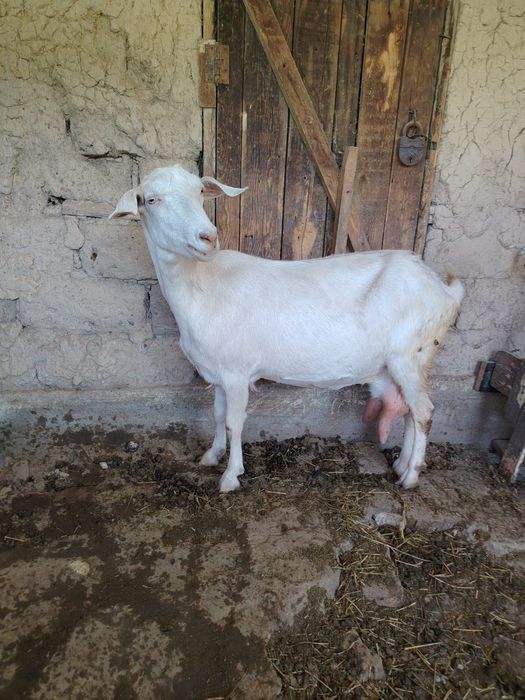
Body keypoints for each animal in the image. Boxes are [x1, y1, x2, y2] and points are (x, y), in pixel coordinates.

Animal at [110, 165, 464, 493]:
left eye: (199, 192)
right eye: (152, 199)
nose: (208, 237)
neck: (202, 286)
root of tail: (444, 290)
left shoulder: (237, 372)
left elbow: (235, 422)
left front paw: (231, 476)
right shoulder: (219, 373)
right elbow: (218, 415)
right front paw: (211, 456)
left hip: (411, 356)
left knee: (424, 412)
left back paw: (411, 476)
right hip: (406, 364)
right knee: (409, 412)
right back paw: (402, 465)